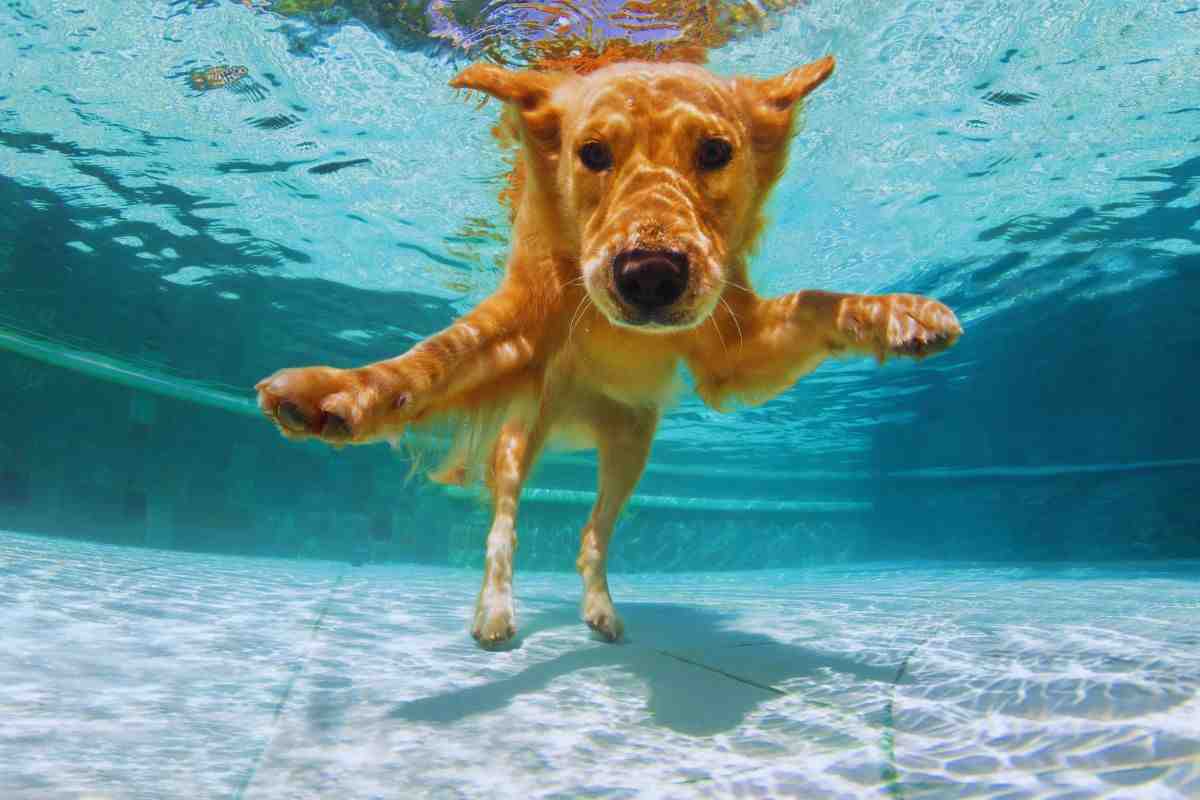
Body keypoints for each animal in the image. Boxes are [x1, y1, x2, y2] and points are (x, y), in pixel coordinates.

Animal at [255, 59, 964, 652]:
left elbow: (816, 301)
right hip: (520, 436)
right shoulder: (516, 327)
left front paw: (898, 314)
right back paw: (495, 612)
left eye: (715, 152)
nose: (650, 275)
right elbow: (429, 361)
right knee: (503, 525)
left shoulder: (731, 352)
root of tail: (577, 416)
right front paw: (337, 392)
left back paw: (600, 610)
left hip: (632, 446)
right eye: (592, 153)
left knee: (591, 536)